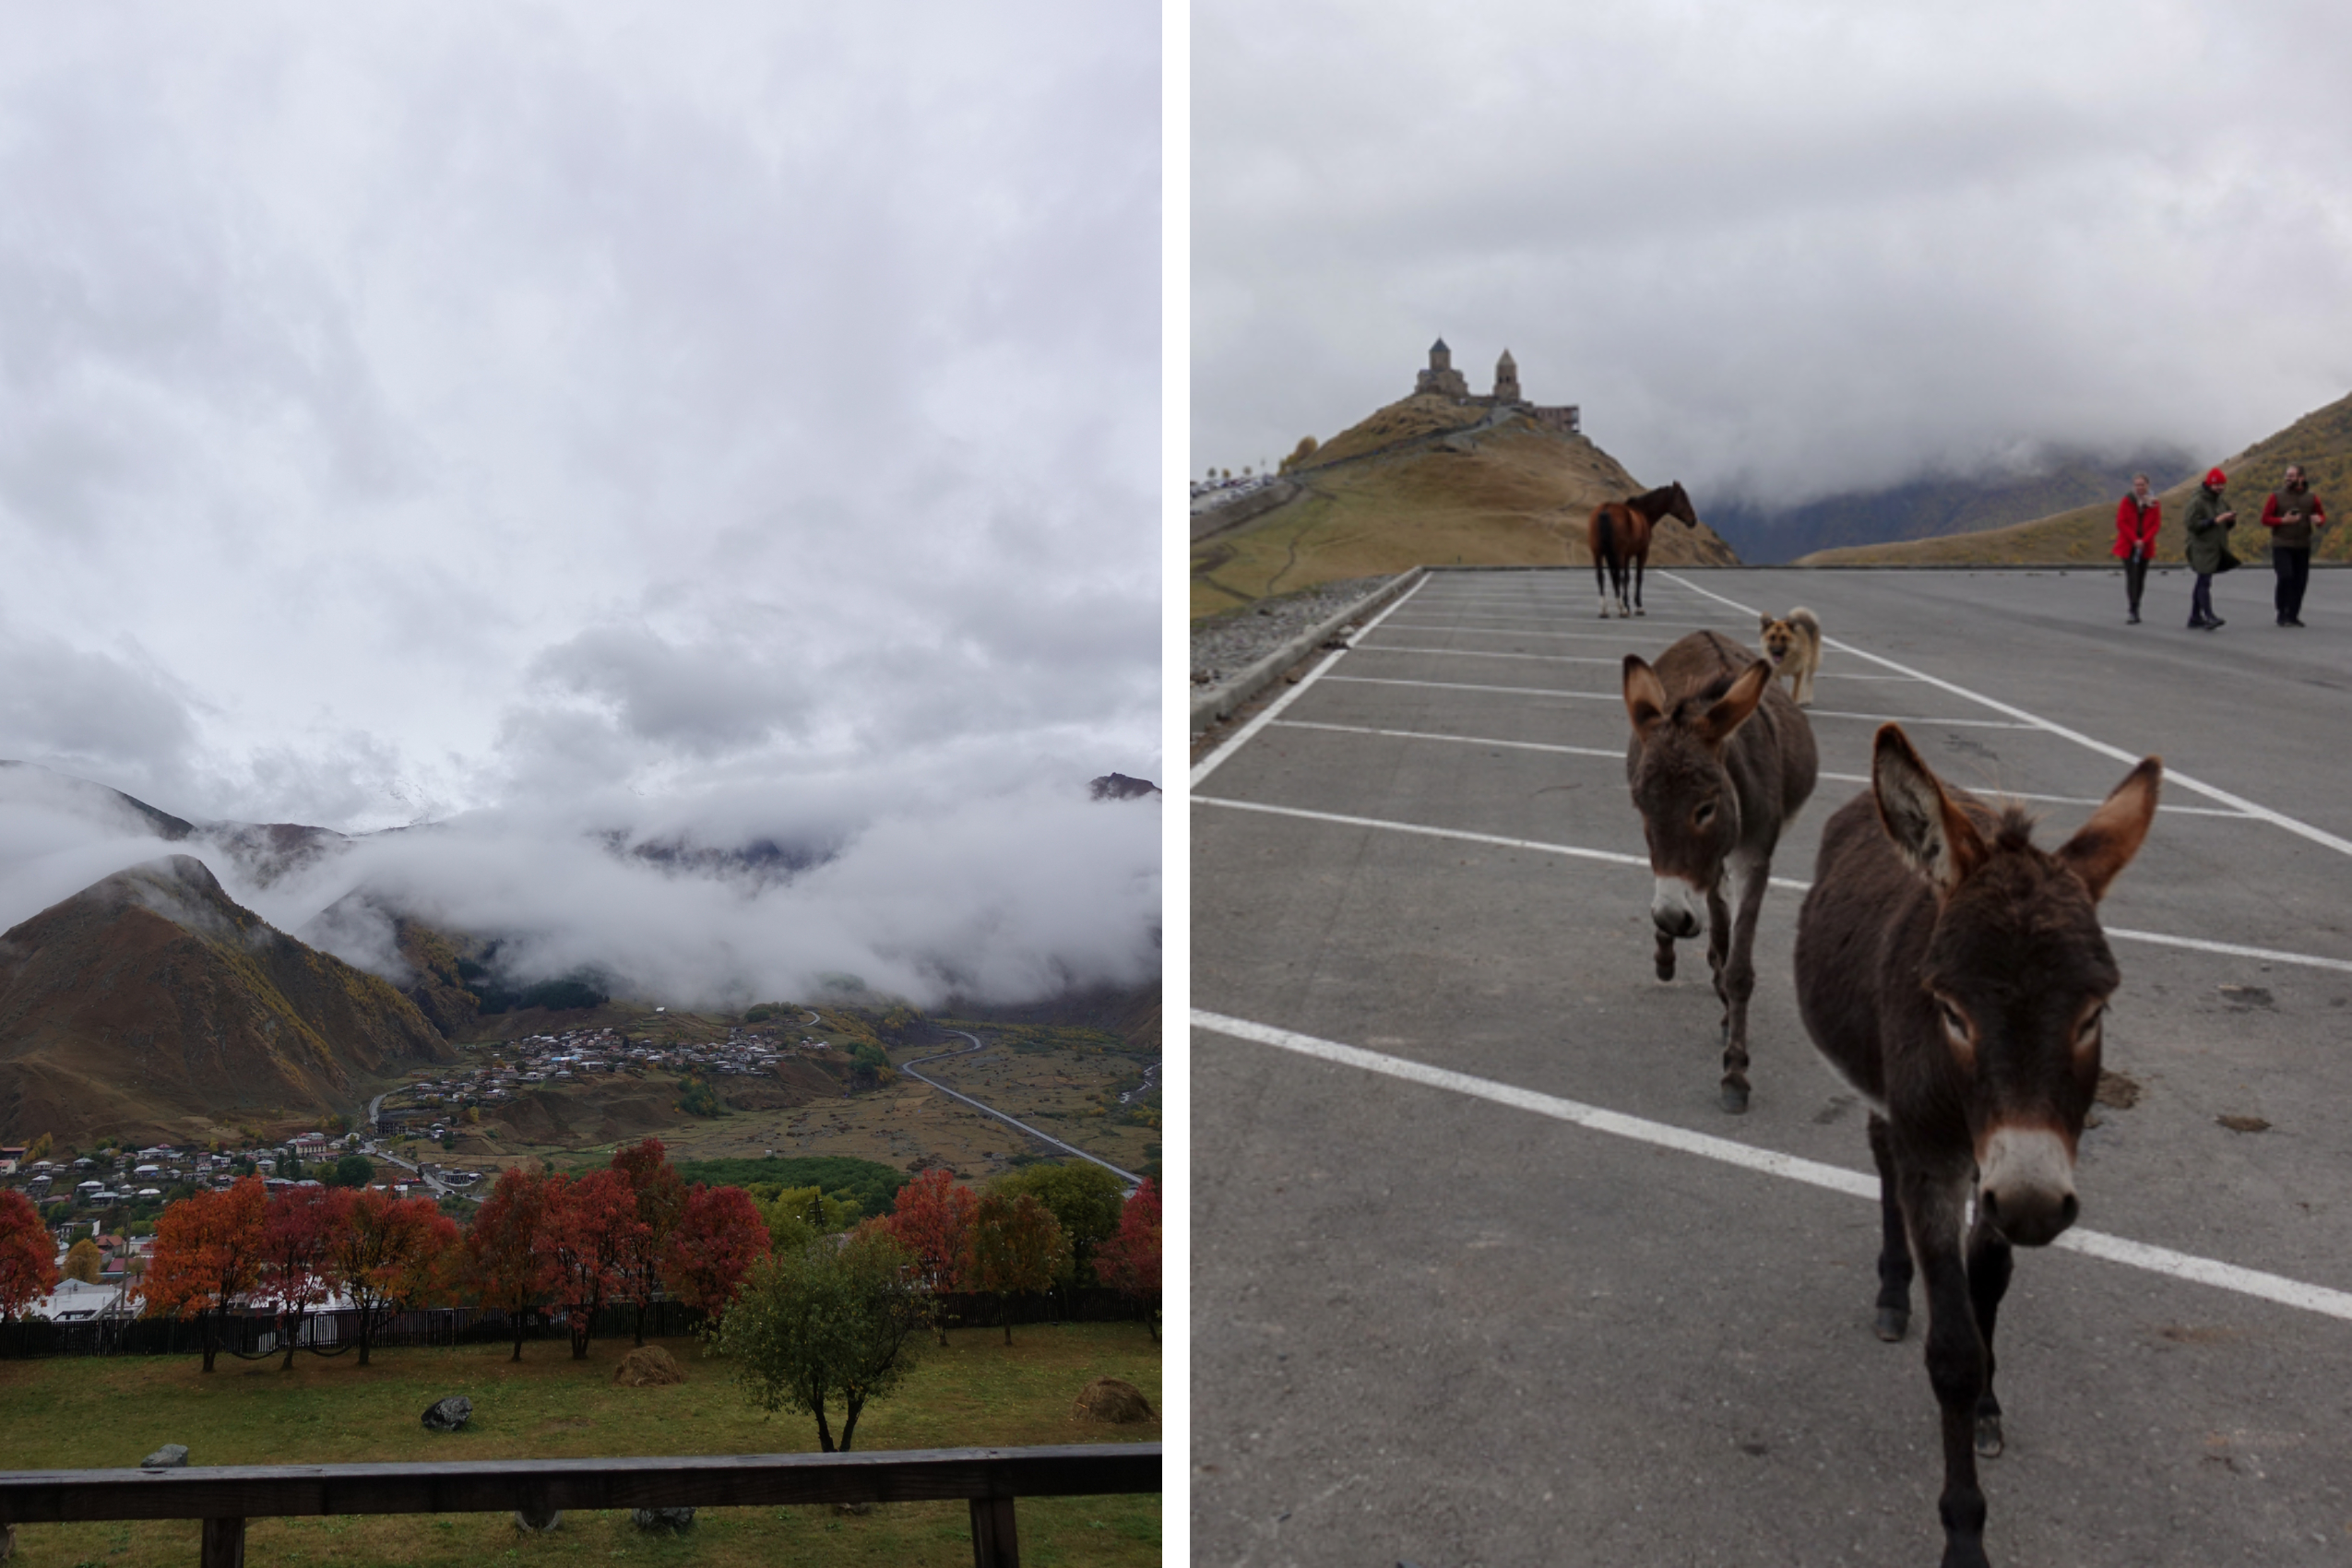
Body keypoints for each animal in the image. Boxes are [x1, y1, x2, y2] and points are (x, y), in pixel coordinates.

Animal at [1589, 484, 1703, 620]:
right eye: (1683, 499)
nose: (1693, 520)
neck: (1643, 513)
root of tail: (1605, 509)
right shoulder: (1641, 553)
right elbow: (1637, 577)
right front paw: (1638, 607)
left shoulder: (1626, 556)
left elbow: (1626, 578)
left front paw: (1627, 605)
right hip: (1617, 554)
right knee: (1616, 576)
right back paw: (1622, 610)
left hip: (1598, 553)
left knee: (1602, 576)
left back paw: (1605, 610)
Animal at [1618, 639, 1815, 1114]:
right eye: (1641, 806)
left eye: (1705, 808)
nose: (1673, 917)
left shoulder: (1753, 860)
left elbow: (1739, 968)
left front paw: (1735, 1072)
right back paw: (1669, 953)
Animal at [1797, 729, 2154, 1568]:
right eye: (1952, 1011)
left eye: (2094, 1012)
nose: (2033, 1206)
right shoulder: (1939, 1158)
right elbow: (1951, 1352)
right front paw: (1964, 1534)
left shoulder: (2005, 1170)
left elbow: (1989, 1280)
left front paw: (1990, 1406)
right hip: (1885, 1095)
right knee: (1881, 1154)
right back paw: (1894, 1294)